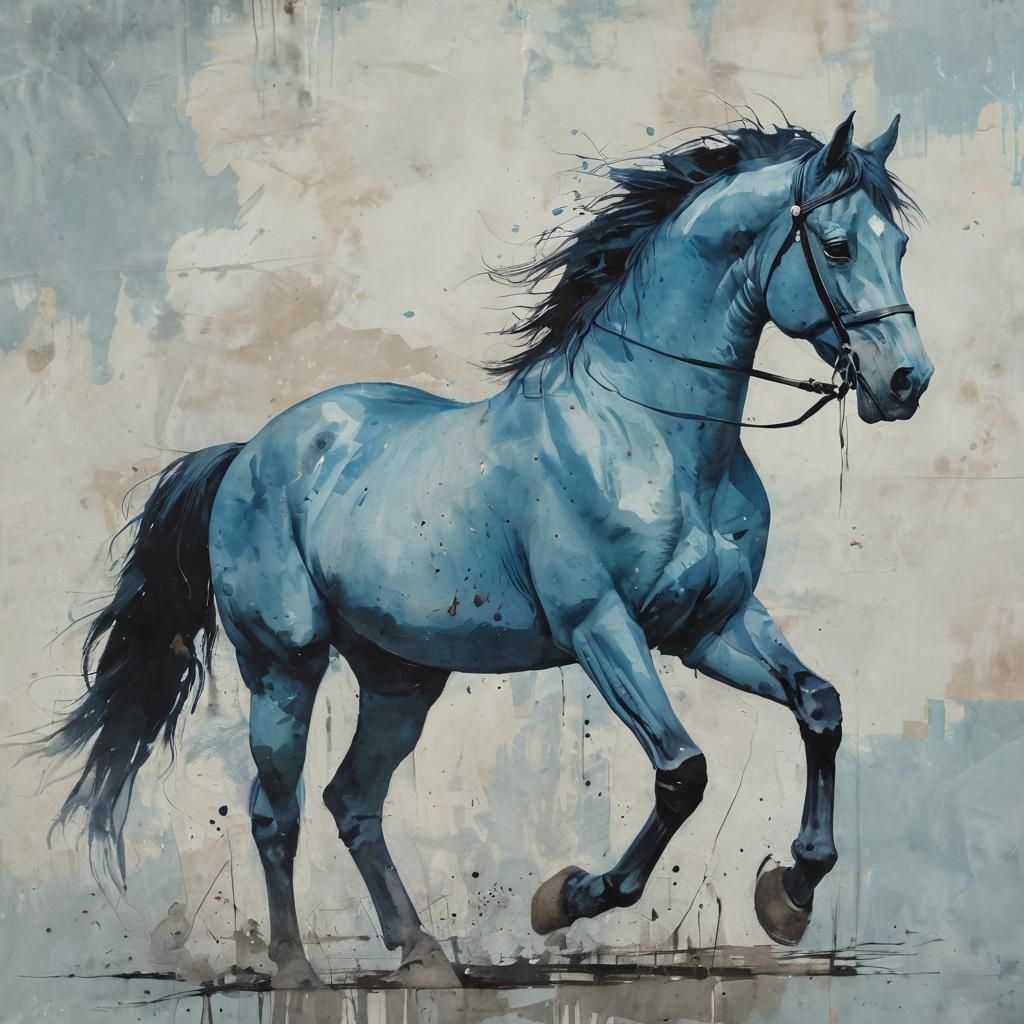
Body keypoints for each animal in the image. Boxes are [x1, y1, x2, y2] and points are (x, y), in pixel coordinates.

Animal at [44, 113, 933, 988]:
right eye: (840, 245)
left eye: (899, 244)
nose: (906, 382)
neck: (650, 433)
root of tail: (249, 452)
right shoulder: (602, 629)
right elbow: (683, 773)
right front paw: (568, 897)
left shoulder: (711, 627)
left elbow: (820, 709)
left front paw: (791, 891)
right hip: (284, 666)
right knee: (277, 810)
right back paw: (296, 969)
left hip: (400, 679)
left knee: (351, 802)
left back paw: (422, 953)